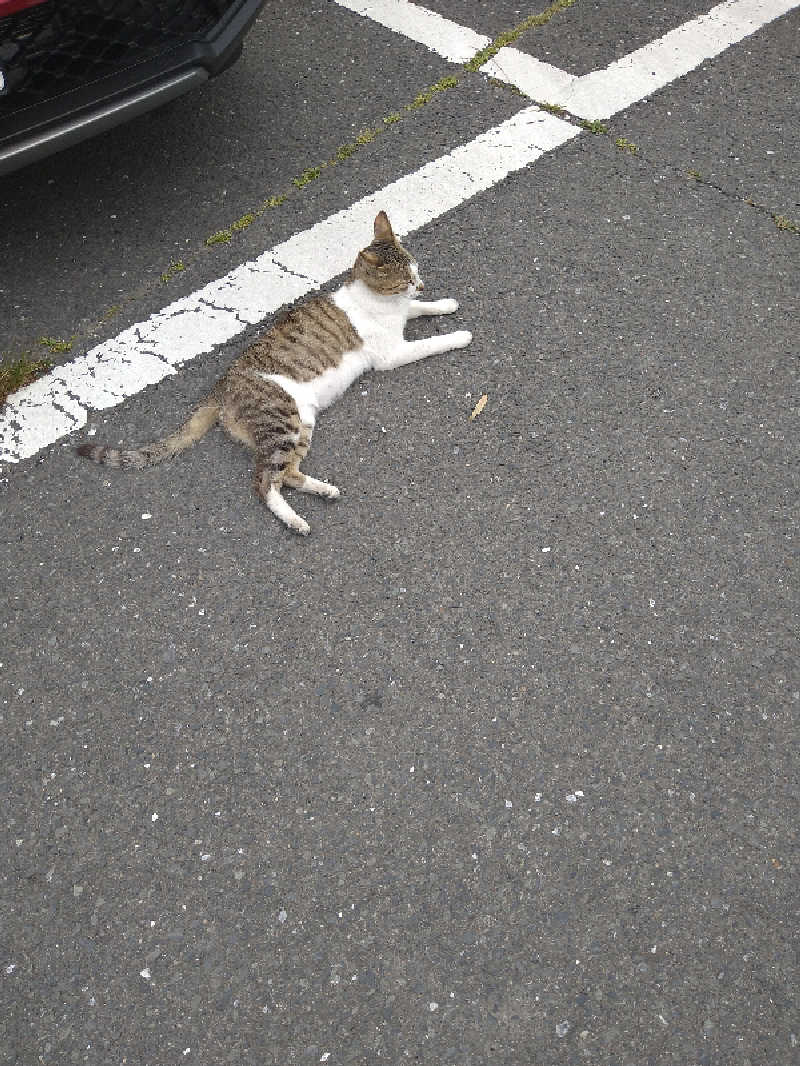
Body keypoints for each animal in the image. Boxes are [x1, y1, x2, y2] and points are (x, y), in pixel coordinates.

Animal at [78, 210, 473, 533]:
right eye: (404, 278)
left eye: (415, 268)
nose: (420, 284)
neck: (381, 301)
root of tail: (220, 387)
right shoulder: (393, 352)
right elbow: (431, 341)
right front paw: (460, 335)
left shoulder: (403, 317)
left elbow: (422, 309)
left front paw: (444, 303)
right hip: (280, 423)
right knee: (263, 483)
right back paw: (296, 521)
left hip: (301, 424)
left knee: (288, 475)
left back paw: (323, 490)